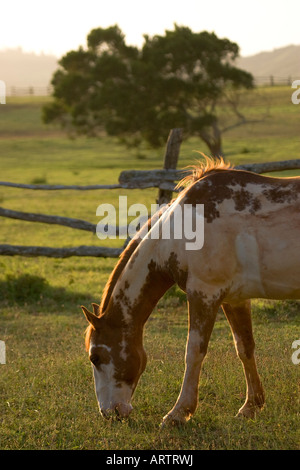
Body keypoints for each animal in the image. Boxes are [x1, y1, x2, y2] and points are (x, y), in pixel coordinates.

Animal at [82, 158, 300, 426]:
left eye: (95, 357)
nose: (109, 412)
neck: (179, 232)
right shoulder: (234, 300)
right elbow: (244, 347)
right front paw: (251, 406)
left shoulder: (203, 294)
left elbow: (194, 351)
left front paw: (178, 413)